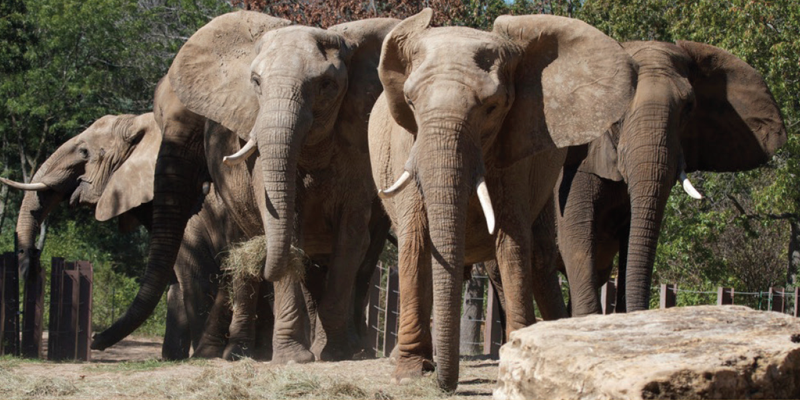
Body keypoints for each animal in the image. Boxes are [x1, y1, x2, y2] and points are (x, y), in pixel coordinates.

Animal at [92, 10, 398, 364]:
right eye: (256, 83)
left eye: (327, 86)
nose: (95, 339)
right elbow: (286, 229)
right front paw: (295, 358)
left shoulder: (357, 142)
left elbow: (351, 237)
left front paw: (339, 354)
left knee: (362, 261)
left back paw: (353, 349)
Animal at [368, 9, 636, 390]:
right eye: (411, 103)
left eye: (492, 107)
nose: (446, 386)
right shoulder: (408, 143)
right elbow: (416, 241)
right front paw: (410, 372)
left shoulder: (518, 149)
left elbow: (512, 242)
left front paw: (516, 357)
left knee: (537, 257)